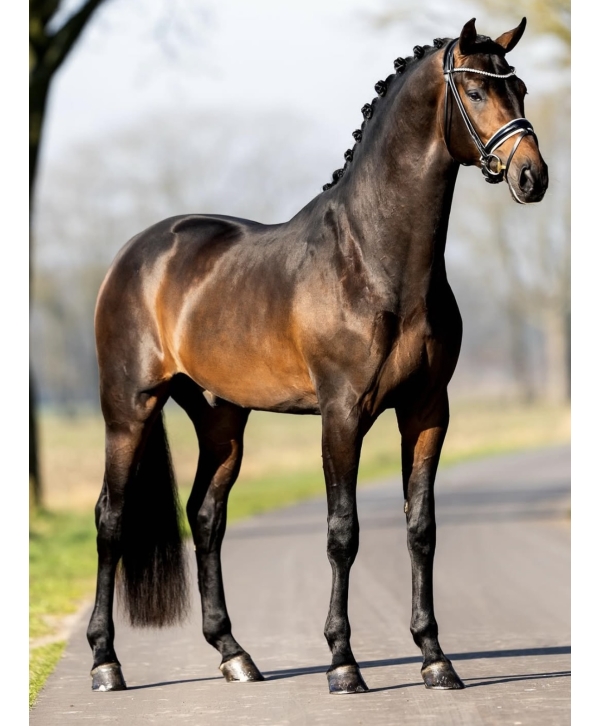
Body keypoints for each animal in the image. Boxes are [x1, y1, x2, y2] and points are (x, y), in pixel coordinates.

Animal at [87, 17, 548, 695]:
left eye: (518, 87)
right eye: (475, 89)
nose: (532, 177)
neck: (376, 260)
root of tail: (136, 254)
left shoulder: (427, 411)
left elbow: (421, 529)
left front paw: (436, 658)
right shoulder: (342, 413)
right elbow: (342, 533)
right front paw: (342, 663)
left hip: (222, 420)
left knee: (206, 517)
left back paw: (234, 655)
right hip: (129, 409)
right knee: (111, 519)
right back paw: (106, 663)